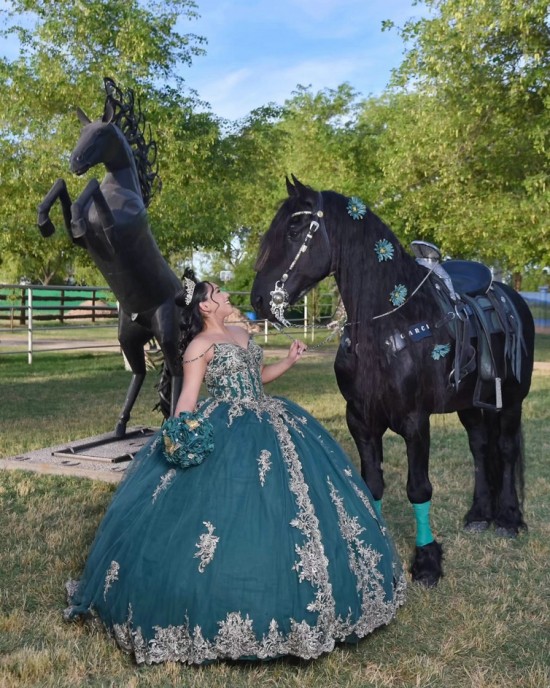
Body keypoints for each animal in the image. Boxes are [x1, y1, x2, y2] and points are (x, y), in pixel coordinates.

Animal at [37, 78, 183, 436]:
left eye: (100, 134)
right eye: (81, 133)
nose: (75, 161)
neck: (124, 191)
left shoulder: (111, 239)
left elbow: (90, 187)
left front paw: (75, 215)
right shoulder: (85, 244)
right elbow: (63, 189)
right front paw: (45, 222)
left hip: (166, 332)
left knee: (178, 372)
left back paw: (174, 421)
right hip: (129, 336)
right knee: (139, 372)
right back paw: (120, 426)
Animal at [252, 177, 536, 584]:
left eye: (294, 229)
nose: (259, 299)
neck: (390, 325)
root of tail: (507, 293)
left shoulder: (415, 421)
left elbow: (418, 489)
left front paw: (427, 561)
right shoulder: (360, 419)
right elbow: (372, 484)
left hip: (512, 401)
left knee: (507, 450)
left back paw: (509, 519)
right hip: (469, 404)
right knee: (481, 448)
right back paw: (479, 514)